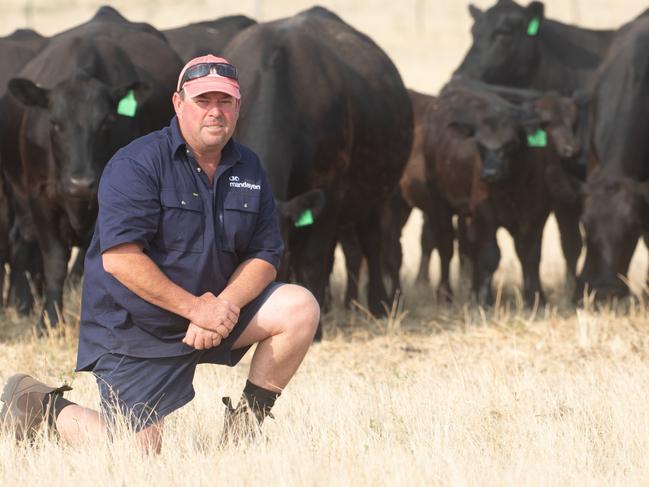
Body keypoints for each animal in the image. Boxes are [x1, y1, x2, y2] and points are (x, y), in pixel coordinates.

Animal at [0, 5, 182, 326]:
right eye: (54, 123)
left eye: (107, 122)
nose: (81, 183)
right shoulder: (39, 196)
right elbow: (55, 262)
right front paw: (48, 321)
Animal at [225, 7, 412, 338]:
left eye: (278, 259)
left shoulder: (331, 189)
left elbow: (312, 260)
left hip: (376, 193)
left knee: (372, 243)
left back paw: (378, 306)